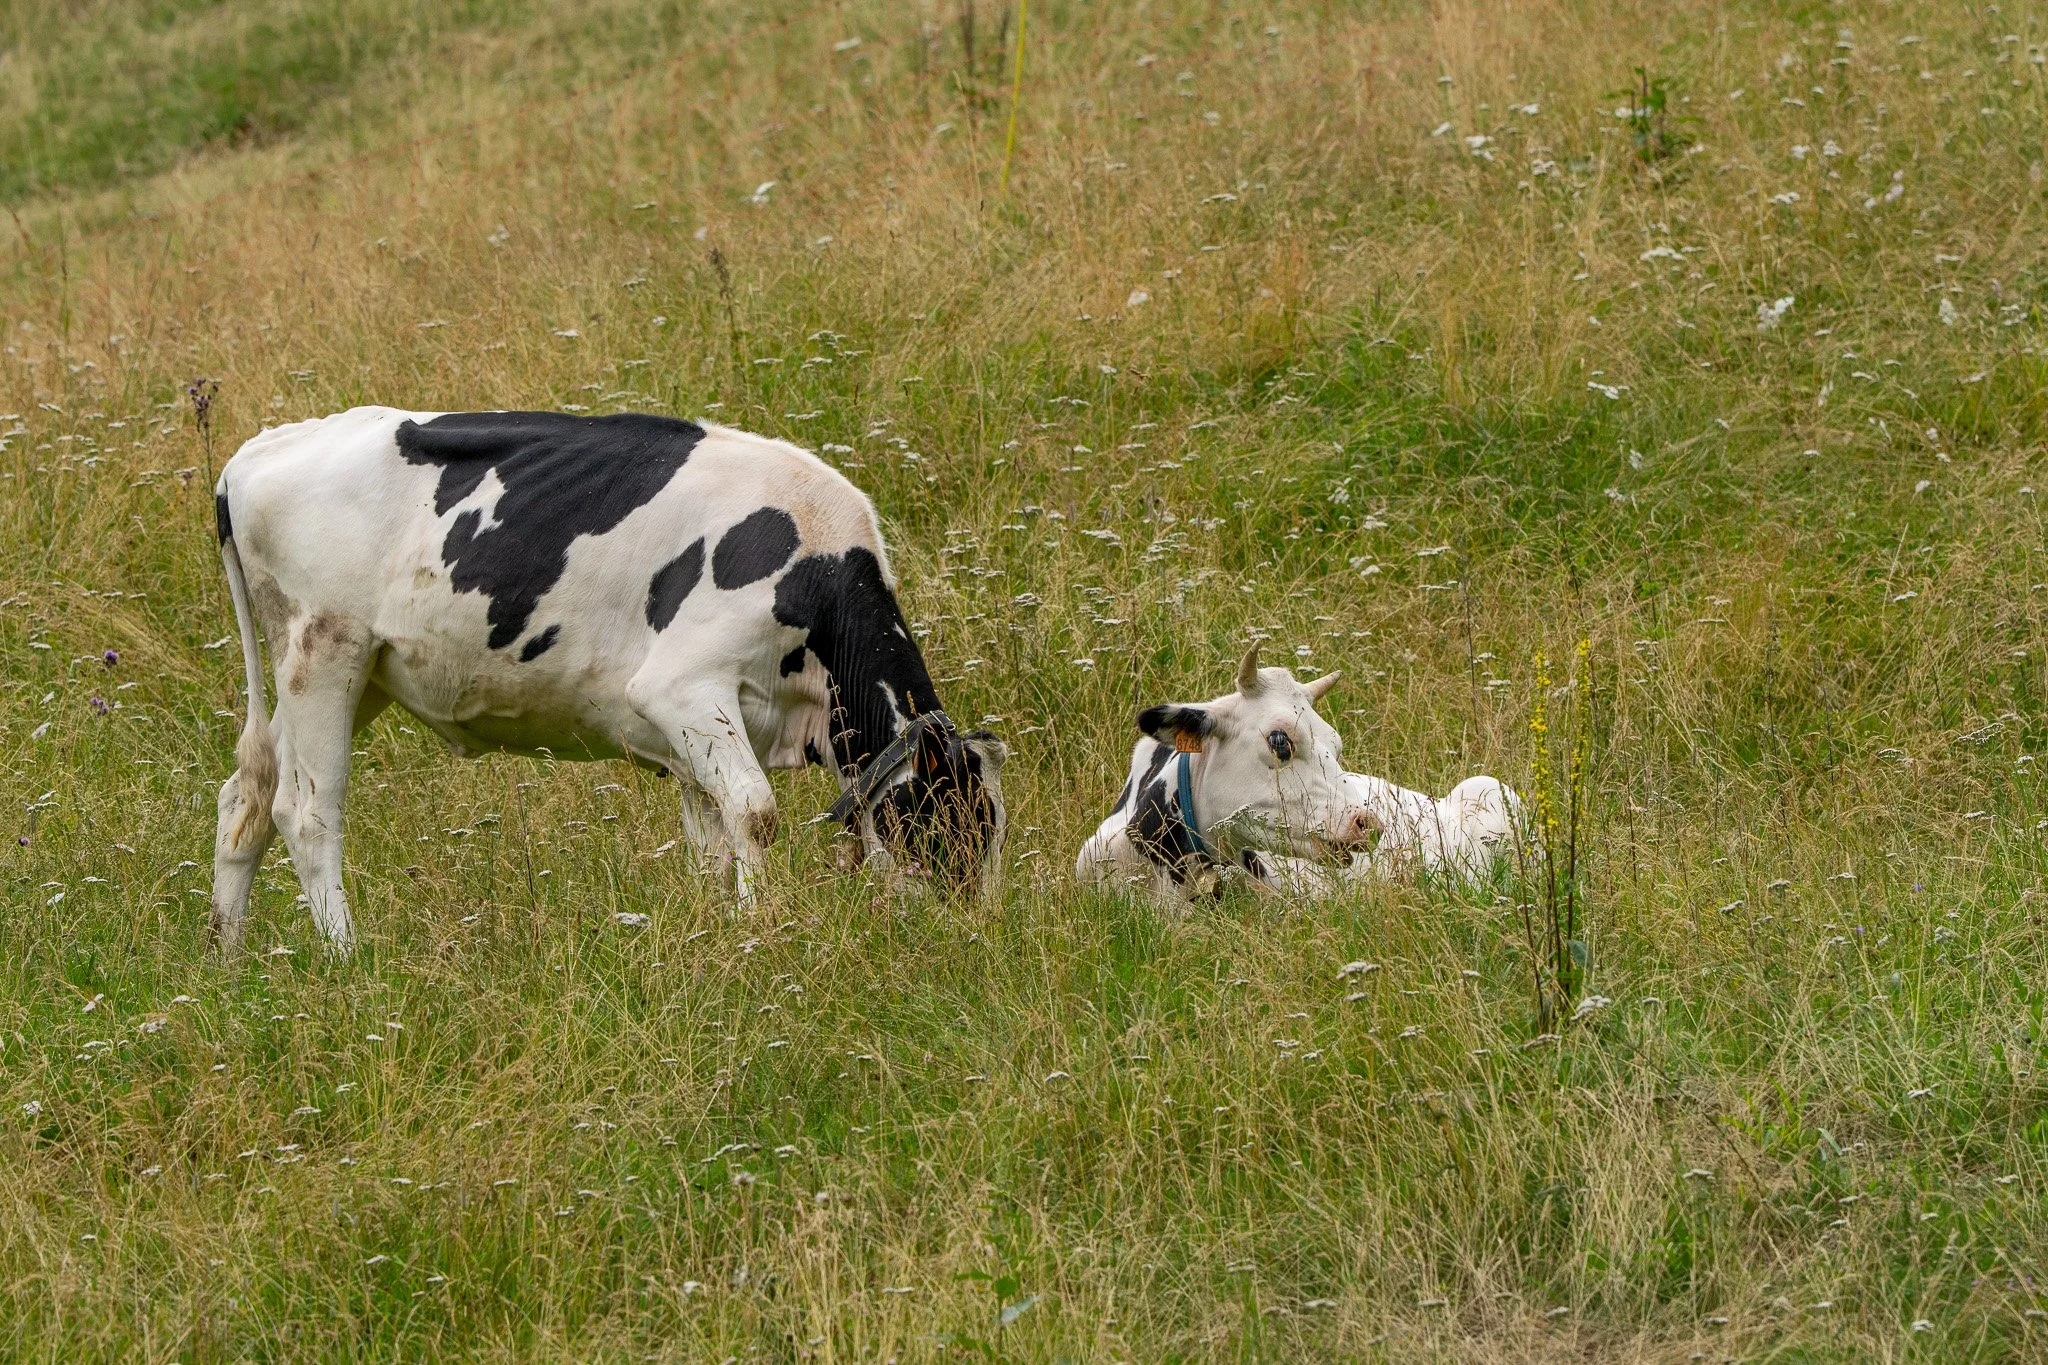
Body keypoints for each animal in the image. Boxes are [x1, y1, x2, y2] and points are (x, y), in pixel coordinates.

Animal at [209, 407, 1008, 955]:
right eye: (952, 821)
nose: (974, 934)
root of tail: (256, 452)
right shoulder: (683, 686)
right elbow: (754, 812)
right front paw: (760, 930)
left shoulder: (695, 735)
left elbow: (710, 842)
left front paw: (717, 928)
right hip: (323, 652)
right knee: (305, 812)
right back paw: (348, 958)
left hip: (352, 673)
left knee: (245, 792)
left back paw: (227, 959)